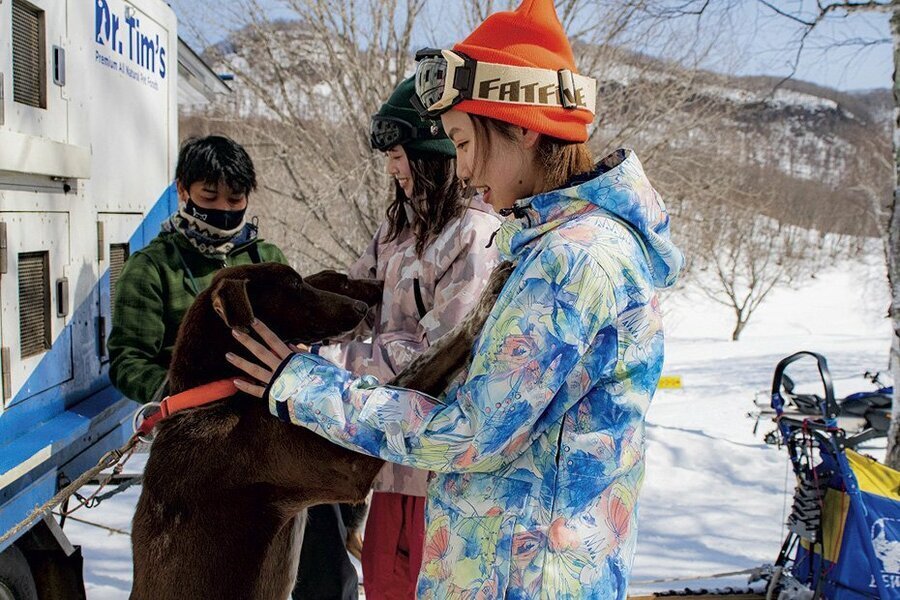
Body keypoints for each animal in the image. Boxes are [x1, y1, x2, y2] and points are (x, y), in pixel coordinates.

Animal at [131, 262, 516, 600]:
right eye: (294, 284)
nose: (361, 306)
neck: (216, 396)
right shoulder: (349, 465)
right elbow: (430, 357)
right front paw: (484, 301)